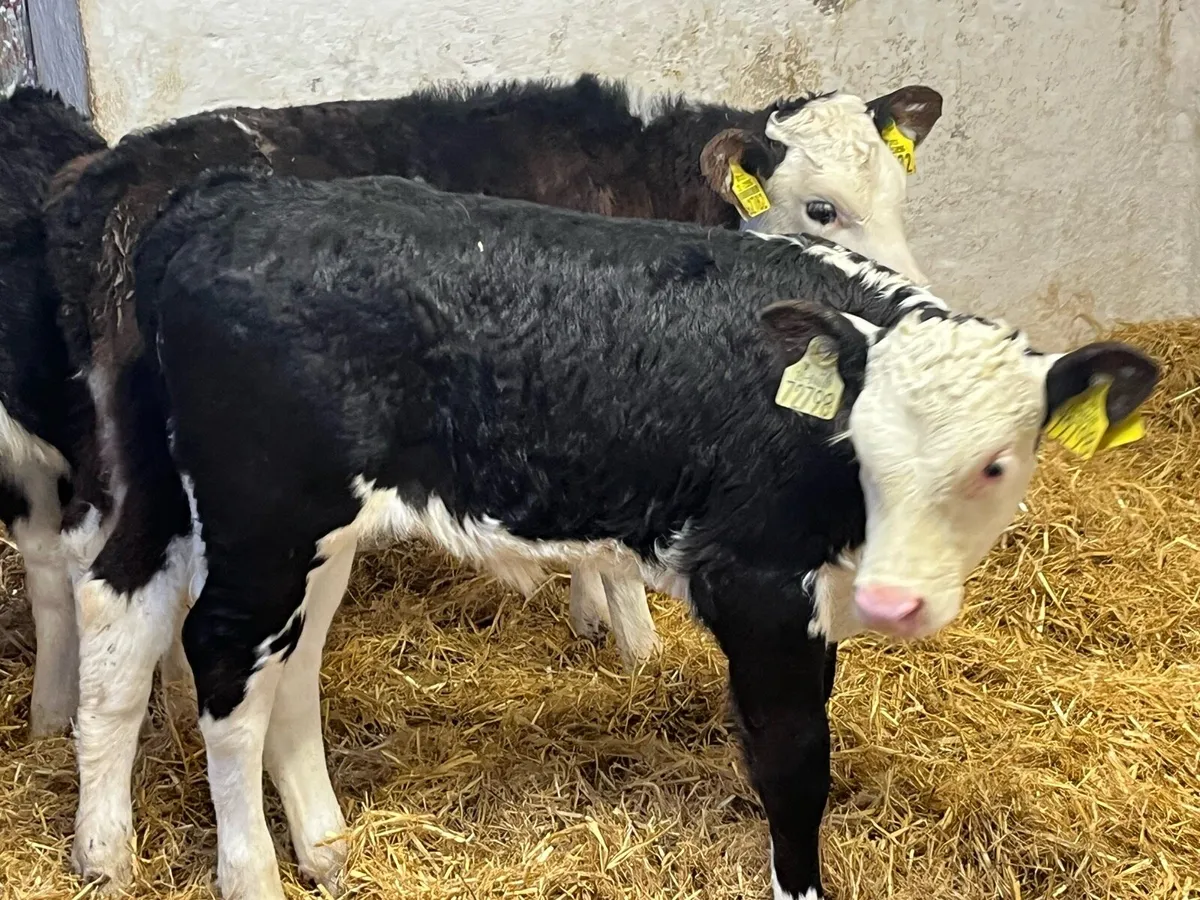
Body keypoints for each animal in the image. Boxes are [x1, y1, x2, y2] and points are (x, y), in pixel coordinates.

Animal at [87, 169, 1154, 900]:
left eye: (996, 464)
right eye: (864, 442)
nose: (900, 601)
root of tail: (229, 196)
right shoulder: (757, 584)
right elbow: (794, 760)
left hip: (267, 518)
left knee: (211, 643)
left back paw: (263, 849)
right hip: (267, 510)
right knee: (222, 664)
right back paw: (250, 873)